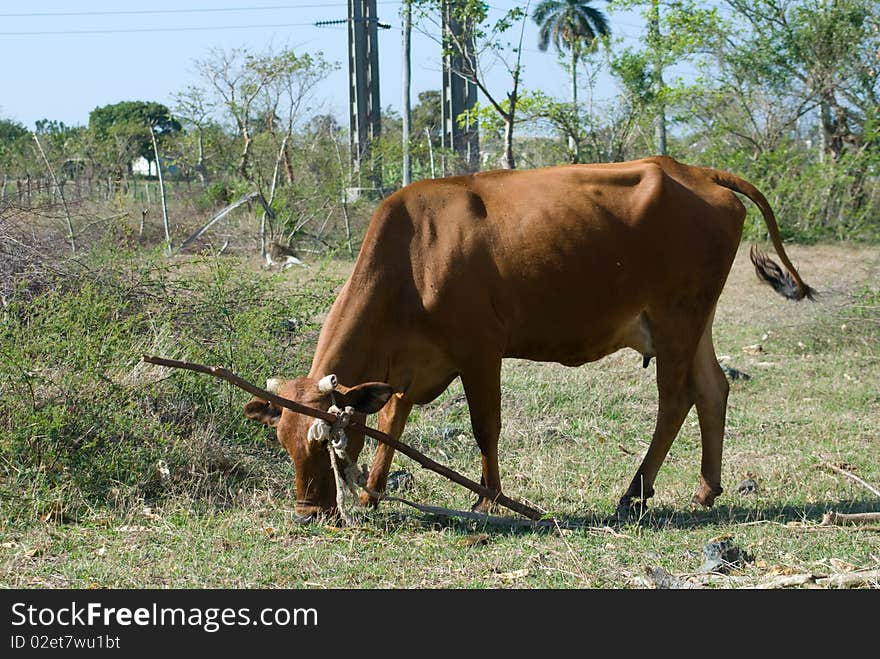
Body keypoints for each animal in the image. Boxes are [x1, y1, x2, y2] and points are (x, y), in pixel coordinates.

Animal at [244, 157, 816, 524]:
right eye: (282, 442)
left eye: (324, 442)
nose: (307, 514)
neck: (412, 256)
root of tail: (695, 172)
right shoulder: (408, 367)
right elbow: (391, 422)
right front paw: (371, 493)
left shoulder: (480, 351)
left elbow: (485, 428)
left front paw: (487, 500)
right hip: (693, 320)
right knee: (713, 389)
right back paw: (705, 489)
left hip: (677, 319)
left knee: (675, 400)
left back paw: (634, 492)